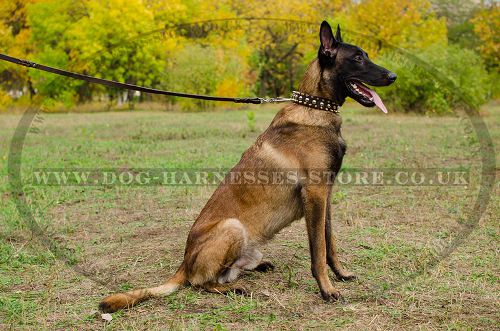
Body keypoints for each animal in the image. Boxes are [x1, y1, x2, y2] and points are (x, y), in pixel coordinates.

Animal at [100, 21, 398, 314]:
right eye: (357, 58)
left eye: (365, 55)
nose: (394, 76)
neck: (316, 109)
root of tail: (183, 263)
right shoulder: (315, 194)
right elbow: (318, 251)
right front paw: (327, 289)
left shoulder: (325, 197)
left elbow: (330, 244)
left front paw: (341, 274)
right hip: (232, 227)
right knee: (201, 283)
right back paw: (234, 289)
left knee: (226, 272)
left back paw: (256, 269)